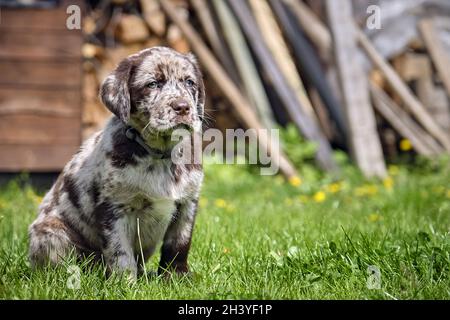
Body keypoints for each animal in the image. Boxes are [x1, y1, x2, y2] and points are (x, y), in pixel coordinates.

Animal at [30, 46, 207, 278]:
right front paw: (125, 282)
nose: (183, 107)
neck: (160, 153)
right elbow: (120, 252)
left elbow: (179, 244)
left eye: (189, 82)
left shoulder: (187, 203)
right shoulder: (114, 208)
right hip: (52, 233)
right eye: (153, 84)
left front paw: (177, 277)